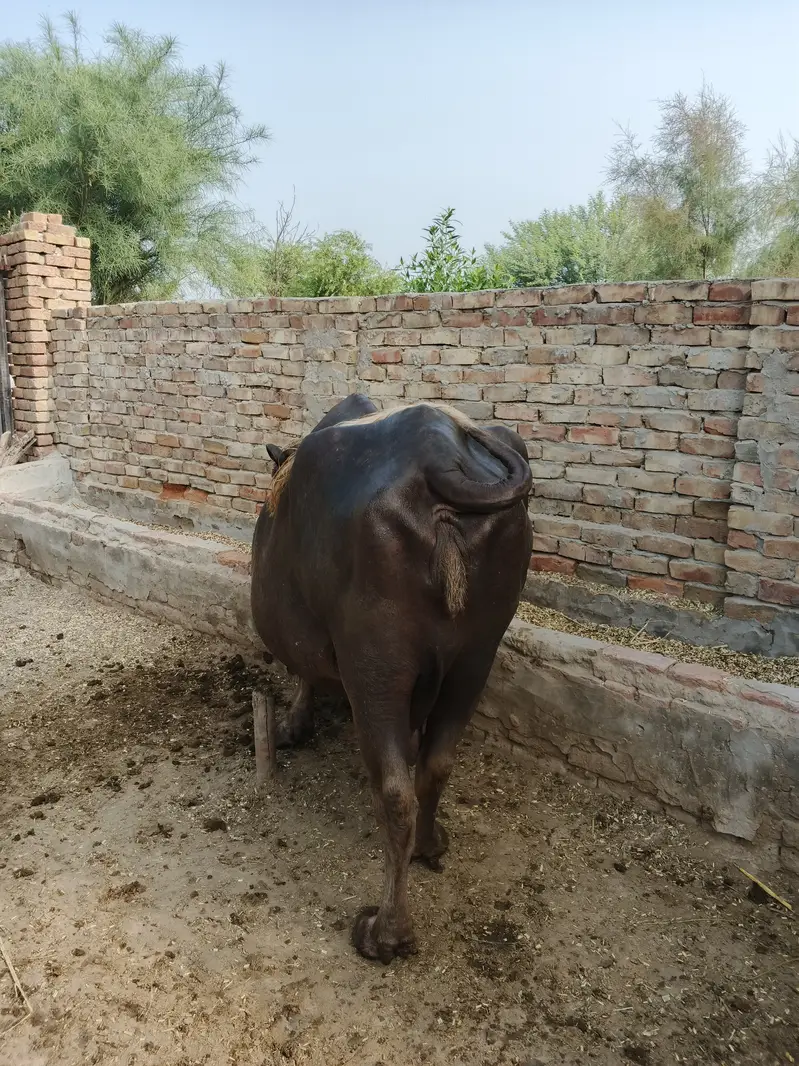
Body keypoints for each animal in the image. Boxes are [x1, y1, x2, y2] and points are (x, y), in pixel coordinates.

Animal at [251, 394, 532, 962]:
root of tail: (441, 455)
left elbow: (304, 675)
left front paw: (292, 726)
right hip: (476, 658)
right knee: (435, 766)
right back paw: (430, 844)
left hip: (375, 669)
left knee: (397, 794)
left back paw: (385, 931)